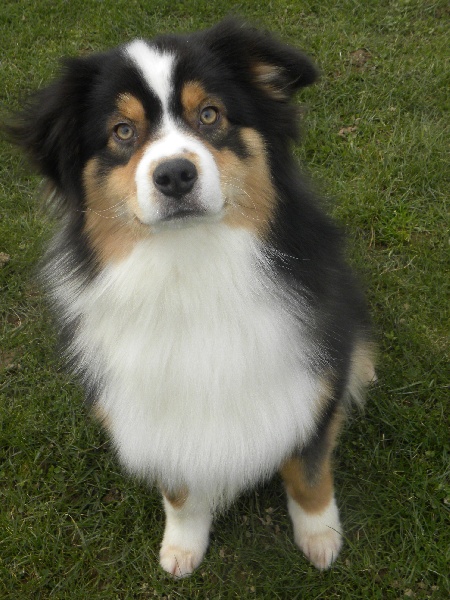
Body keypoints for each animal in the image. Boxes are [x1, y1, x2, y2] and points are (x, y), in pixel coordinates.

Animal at [8, 19, 375, 577]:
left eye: (210, 114)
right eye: (122, 131)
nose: (175, 175)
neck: (191, 267)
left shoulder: (316, 375)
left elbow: (308, 469)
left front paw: (320, 537)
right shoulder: (157, 409)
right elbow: (179, 489)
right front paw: (182, 547)